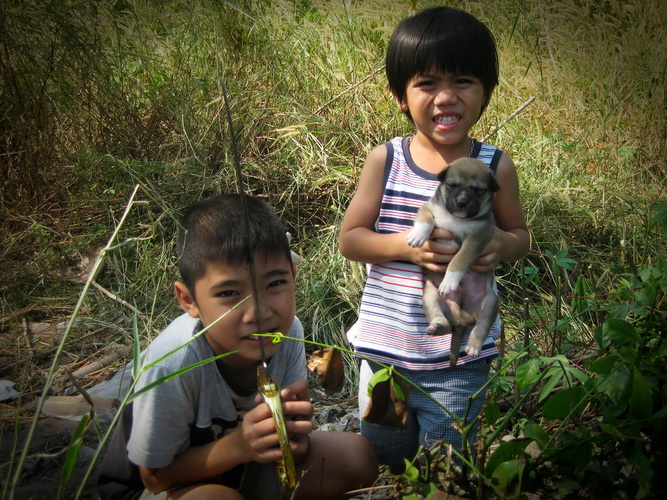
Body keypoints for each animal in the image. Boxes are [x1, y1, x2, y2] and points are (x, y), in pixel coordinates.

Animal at [404, 158, 498, 366]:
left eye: (479, 190)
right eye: (452, 185)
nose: (461, 202)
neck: (456, 219)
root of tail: (461, 320)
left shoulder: (476, 238)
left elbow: (458, 259)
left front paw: (449, 281)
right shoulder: (428, 208)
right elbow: (426, 220)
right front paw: (418, 235)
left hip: (490, 303)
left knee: (481, 327)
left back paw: (474, 346)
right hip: (430, 297)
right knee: (443, 324)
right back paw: (436, 328)